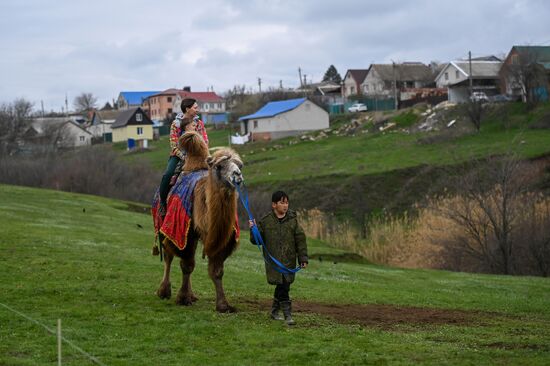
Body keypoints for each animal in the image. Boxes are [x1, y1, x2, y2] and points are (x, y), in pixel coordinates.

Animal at [154, 132, 243, 312]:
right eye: (219, 166)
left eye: (240, 166)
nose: (237, 175)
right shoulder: (182, 232)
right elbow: (187, 265)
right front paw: (182, 298)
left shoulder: (220, 237)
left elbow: (217, 270)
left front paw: (223, 305)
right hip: (165, 226)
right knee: (168, 256)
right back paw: (164, 291)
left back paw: (192, 294)